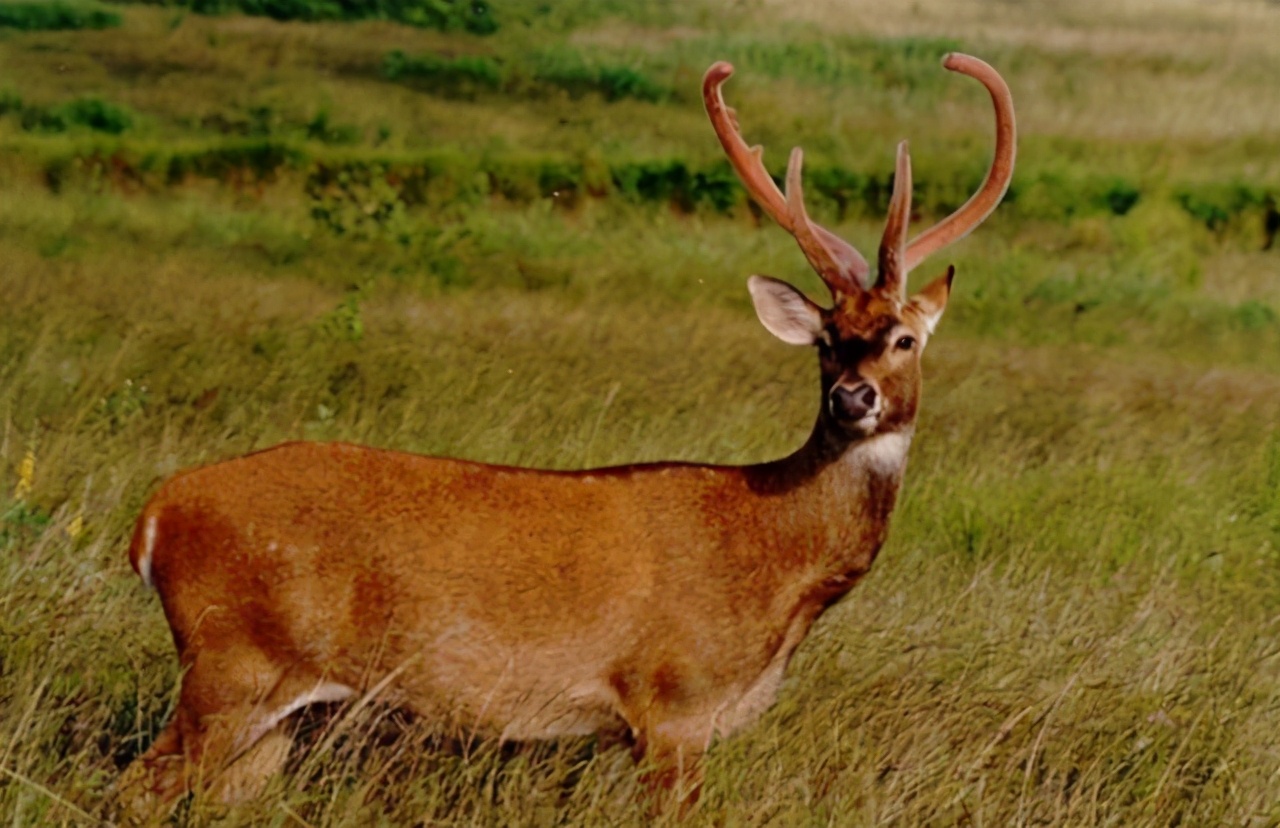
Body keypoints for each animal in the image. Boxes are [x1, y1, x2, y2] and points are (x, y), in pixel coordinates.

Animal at [117, 53, 1018, 824]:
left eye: (904, 339)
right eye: (828, 339)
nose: (853, 397)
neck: (774, 560)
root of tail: (155, 516)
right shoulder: (672, 703)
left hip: (268, 706)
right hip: (232, 663)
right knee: (137, 785)